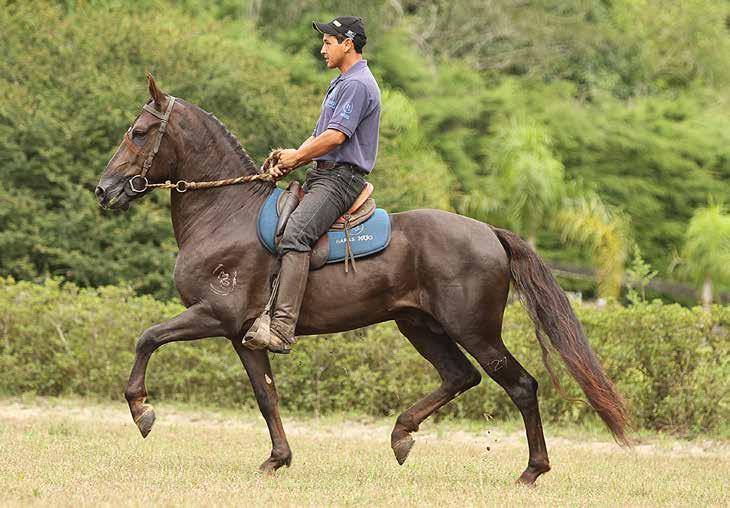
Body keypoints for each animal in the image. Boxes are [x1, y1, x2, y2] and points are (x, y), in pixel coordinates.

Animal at [94, 75, 624, 484]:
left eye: (138, 132)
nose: (104, 190)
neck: (225, 214)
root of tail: (488, 231)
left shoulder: (214, 315)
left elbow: (147, 338)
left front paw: (141, 411)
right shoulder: (241, 335)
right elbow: (266, 396)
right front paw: (277, 460)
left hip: (474, 330)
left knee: (520, 386)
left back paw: (532, 471)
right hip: (419, 325)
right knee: (460, 376)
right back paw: (402, 435)